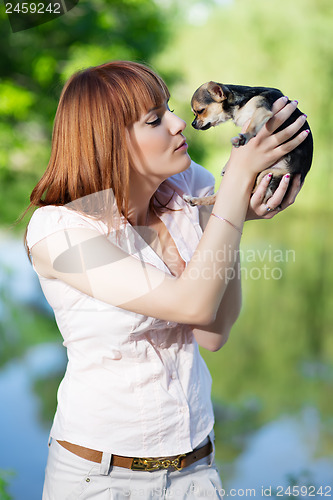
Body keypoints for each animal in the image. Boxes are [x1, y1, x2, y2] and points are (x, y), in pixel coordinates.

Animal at [183, 81, 312, 205]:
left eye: (200, 111)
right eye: (194, 113)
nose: (193, 124)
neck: (239, 105)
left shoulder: (262, 111)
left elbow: (252, 126)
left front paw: (244, 137)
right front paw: (227, 164)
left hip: (271, 174)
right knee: (218, 197)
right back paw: (194, 200)